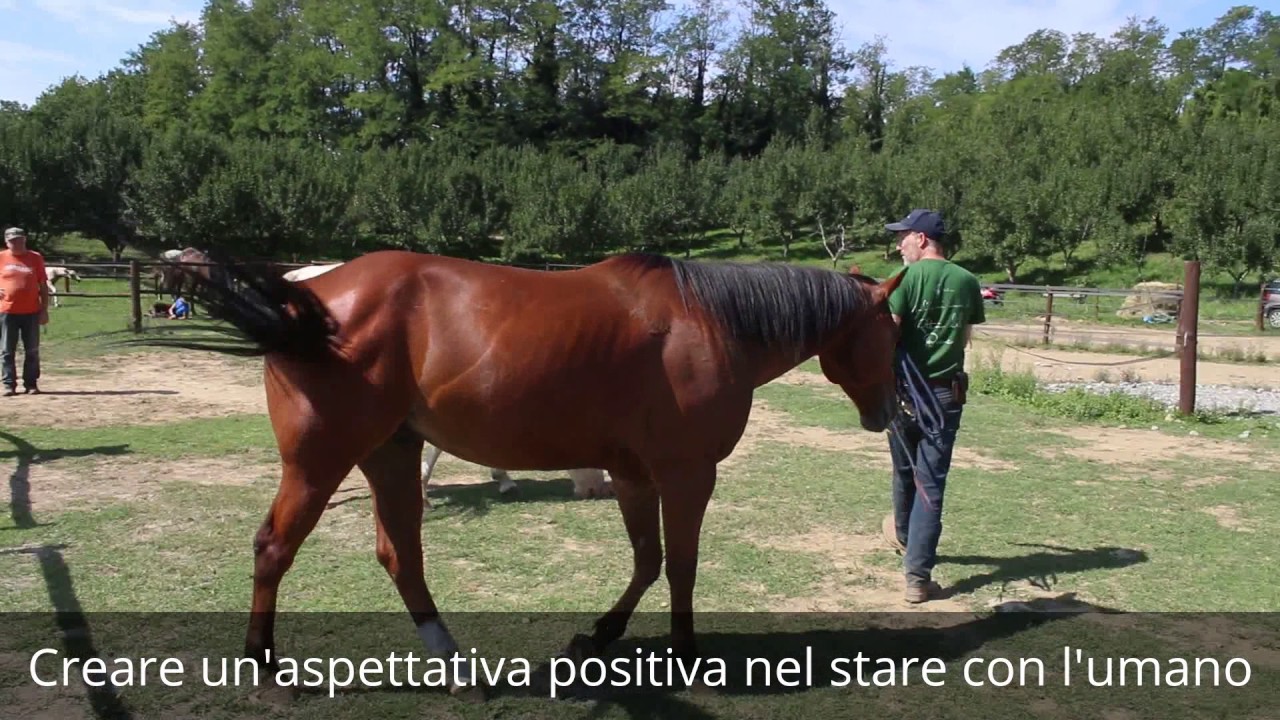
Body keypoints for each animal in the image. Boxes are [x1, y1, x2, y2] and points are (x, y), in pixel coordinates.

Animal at [147, 249, 904, 700]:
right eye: (893, 333)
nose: (890, 412)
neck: (709, 323)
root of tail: (305, 301)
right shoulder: (686, 475)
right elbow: (682, 566)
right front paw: (689, 655)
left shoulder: (636, 475)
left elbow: (648, 560)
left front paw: (598, 635)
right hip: (321, 460)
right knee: (275, 548)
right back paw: (264, 666)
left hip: (390, 452)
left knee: (400, 555)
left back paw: (454, 665)